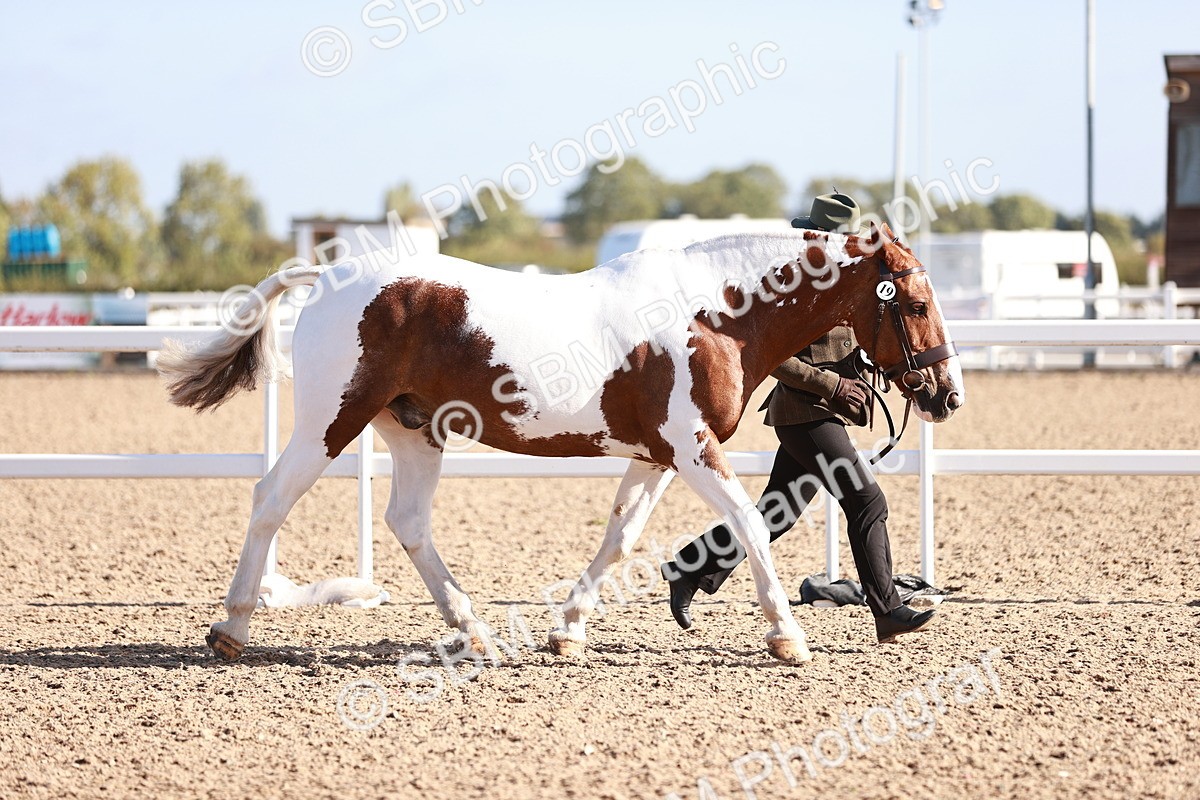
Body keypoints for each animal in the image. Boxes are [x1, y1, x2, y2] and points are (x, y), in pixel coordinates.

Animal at [158, 221, 964, 665]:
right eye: (914, 301)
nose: (945, 396)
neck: (714, 315)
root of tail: (329, 275)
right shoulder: (692, 447)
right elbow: (747, 526)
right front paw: (788, 638)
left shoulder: (656, 456)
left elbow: (621, 538)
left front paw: (567, 634)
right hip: (333, 420)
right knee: (270, 499)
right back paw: (230, 629)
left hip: (413, 431)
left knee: (407, 522)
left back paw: (476, 634)